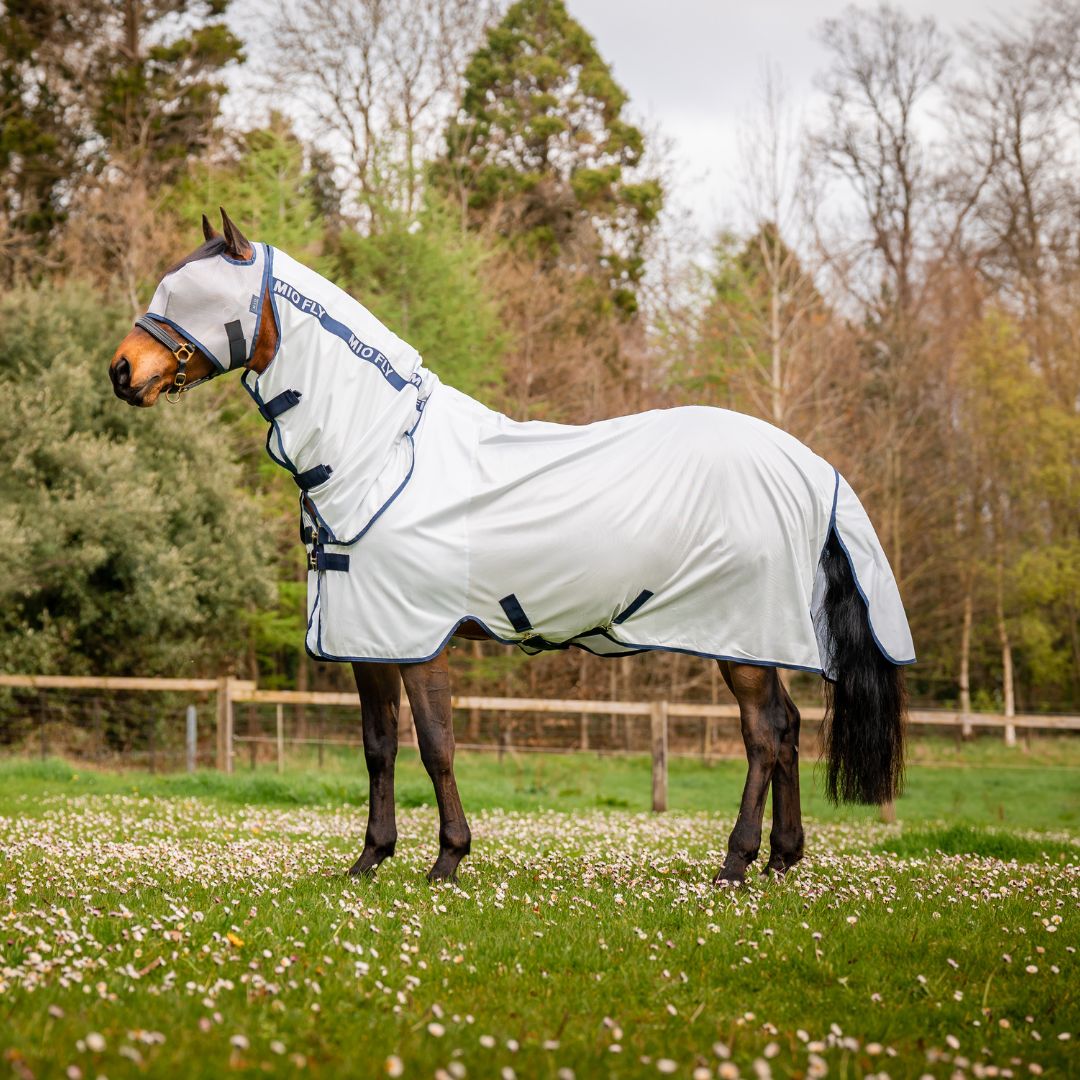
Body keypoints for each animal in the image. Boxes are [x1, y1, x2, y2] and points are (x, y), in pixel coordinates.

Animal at [107, 208, 911, 885]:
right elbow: (377, 747)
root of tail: (811, 465)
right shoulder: (368, 641)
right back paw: (782, 859)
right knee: (791, 728)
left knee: (764, 734)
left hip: (738, 636)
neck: (384, 456)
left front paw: (447, 861)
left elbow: (435, 745)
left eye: (198, 296)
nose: (121, 371)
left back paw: (737, 864)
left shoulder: (419, 640)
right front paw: (370, 860)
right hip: (758, 641)